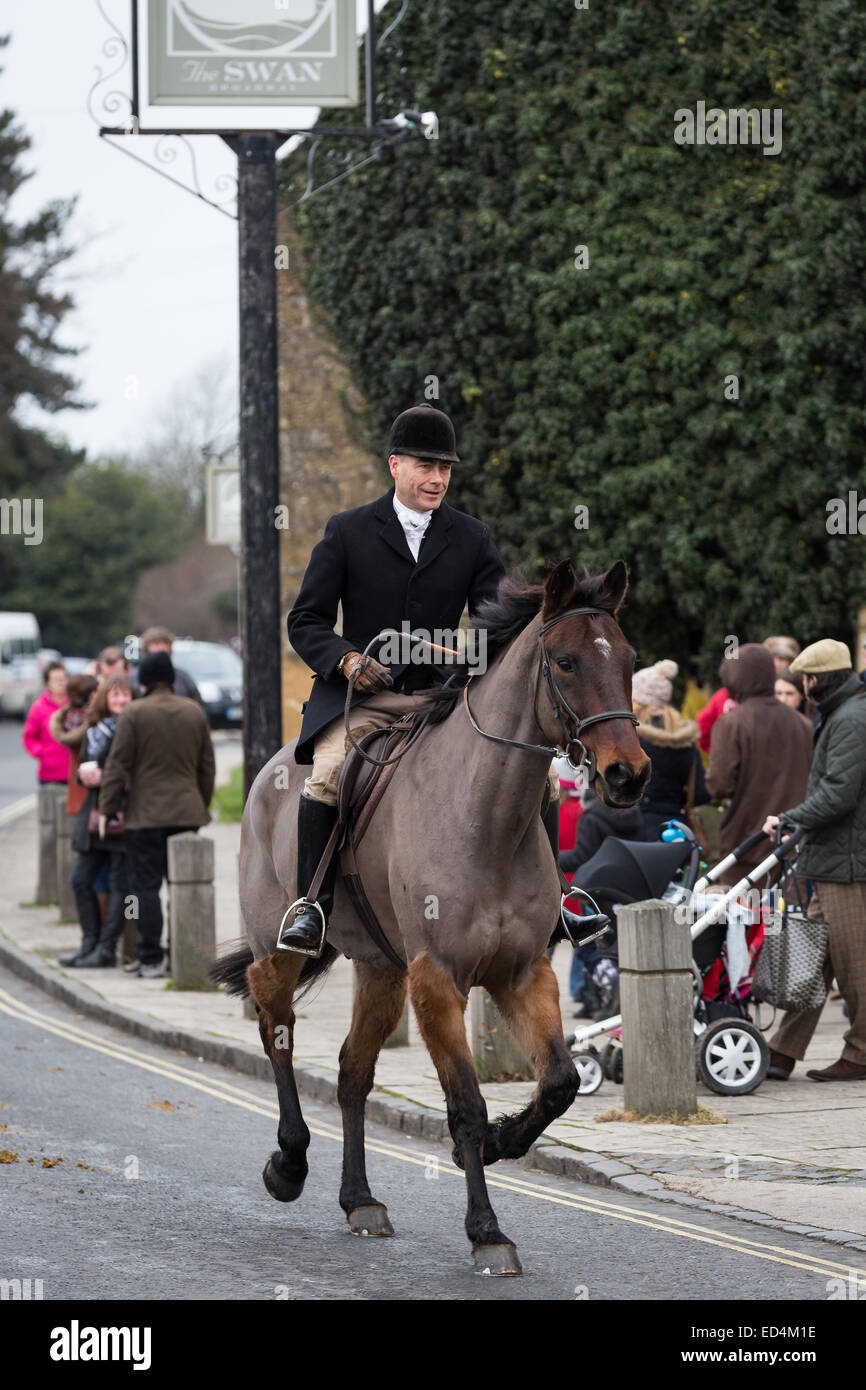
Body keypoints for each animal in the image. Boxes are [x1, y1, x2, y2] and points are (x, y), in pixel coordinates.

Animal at [211, 558, 650, 1273]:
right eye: (564, 662)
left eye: (630, 659)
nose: (628, 775)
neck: (487, 815)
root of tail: (269, 767)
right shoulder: (438, 978)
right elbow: (464, 1104)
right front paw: (487, 1231)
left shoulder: (522, 973)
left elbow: (558, 1082)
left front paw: (504, 1142)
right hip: (281, 951)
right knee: (276, 1027)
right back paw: (289, 1163)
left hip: (382, 970)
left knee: (352, 1072)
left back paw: (359, 1200)